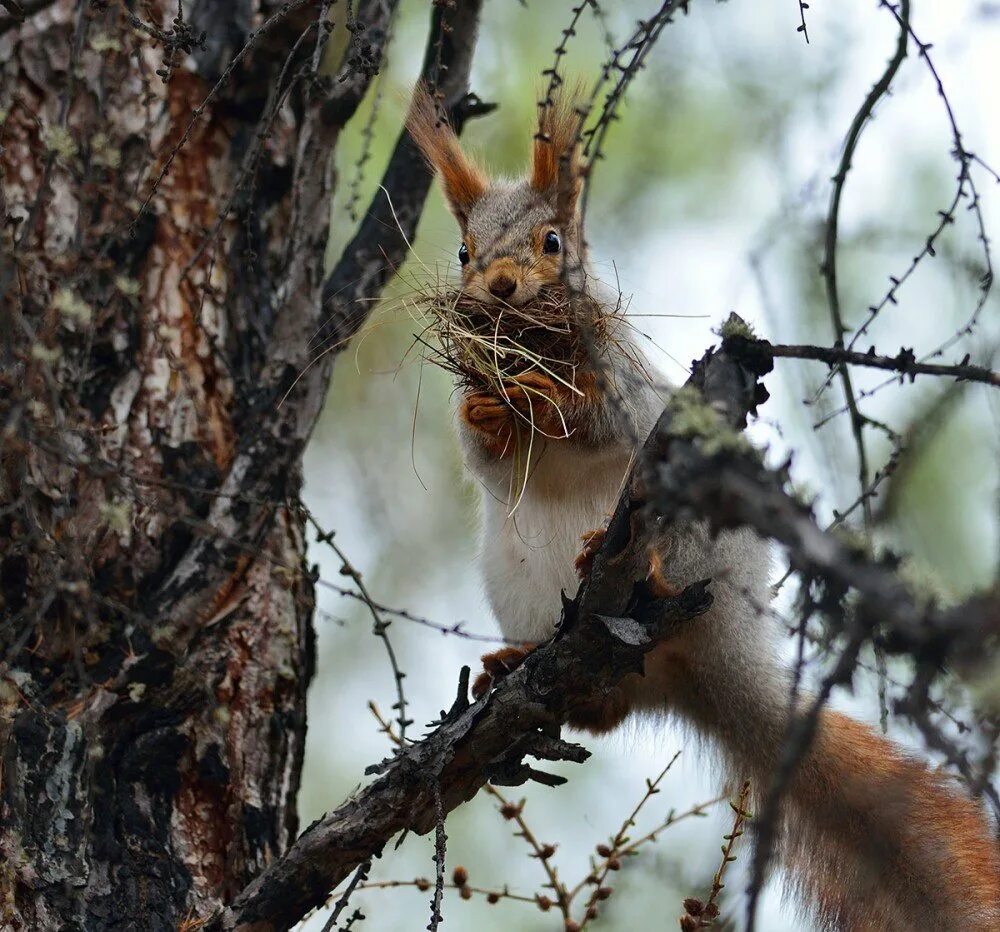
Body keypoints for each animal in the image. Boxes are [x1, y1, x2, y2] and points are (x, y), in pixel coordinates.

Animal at [404, 89, 1000, 932]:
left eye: (552, 241)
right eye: (463, 252)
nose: (501, 288)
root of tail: (711, 662)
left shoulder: (630, 386)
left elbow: (601, 417)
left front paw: (552, 401)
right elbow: (485, 455)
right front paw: (489, 410)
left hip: (692, 547)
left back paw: (619, 566)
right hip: (515, 581)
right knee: (602, 710)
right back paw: (514, 662)